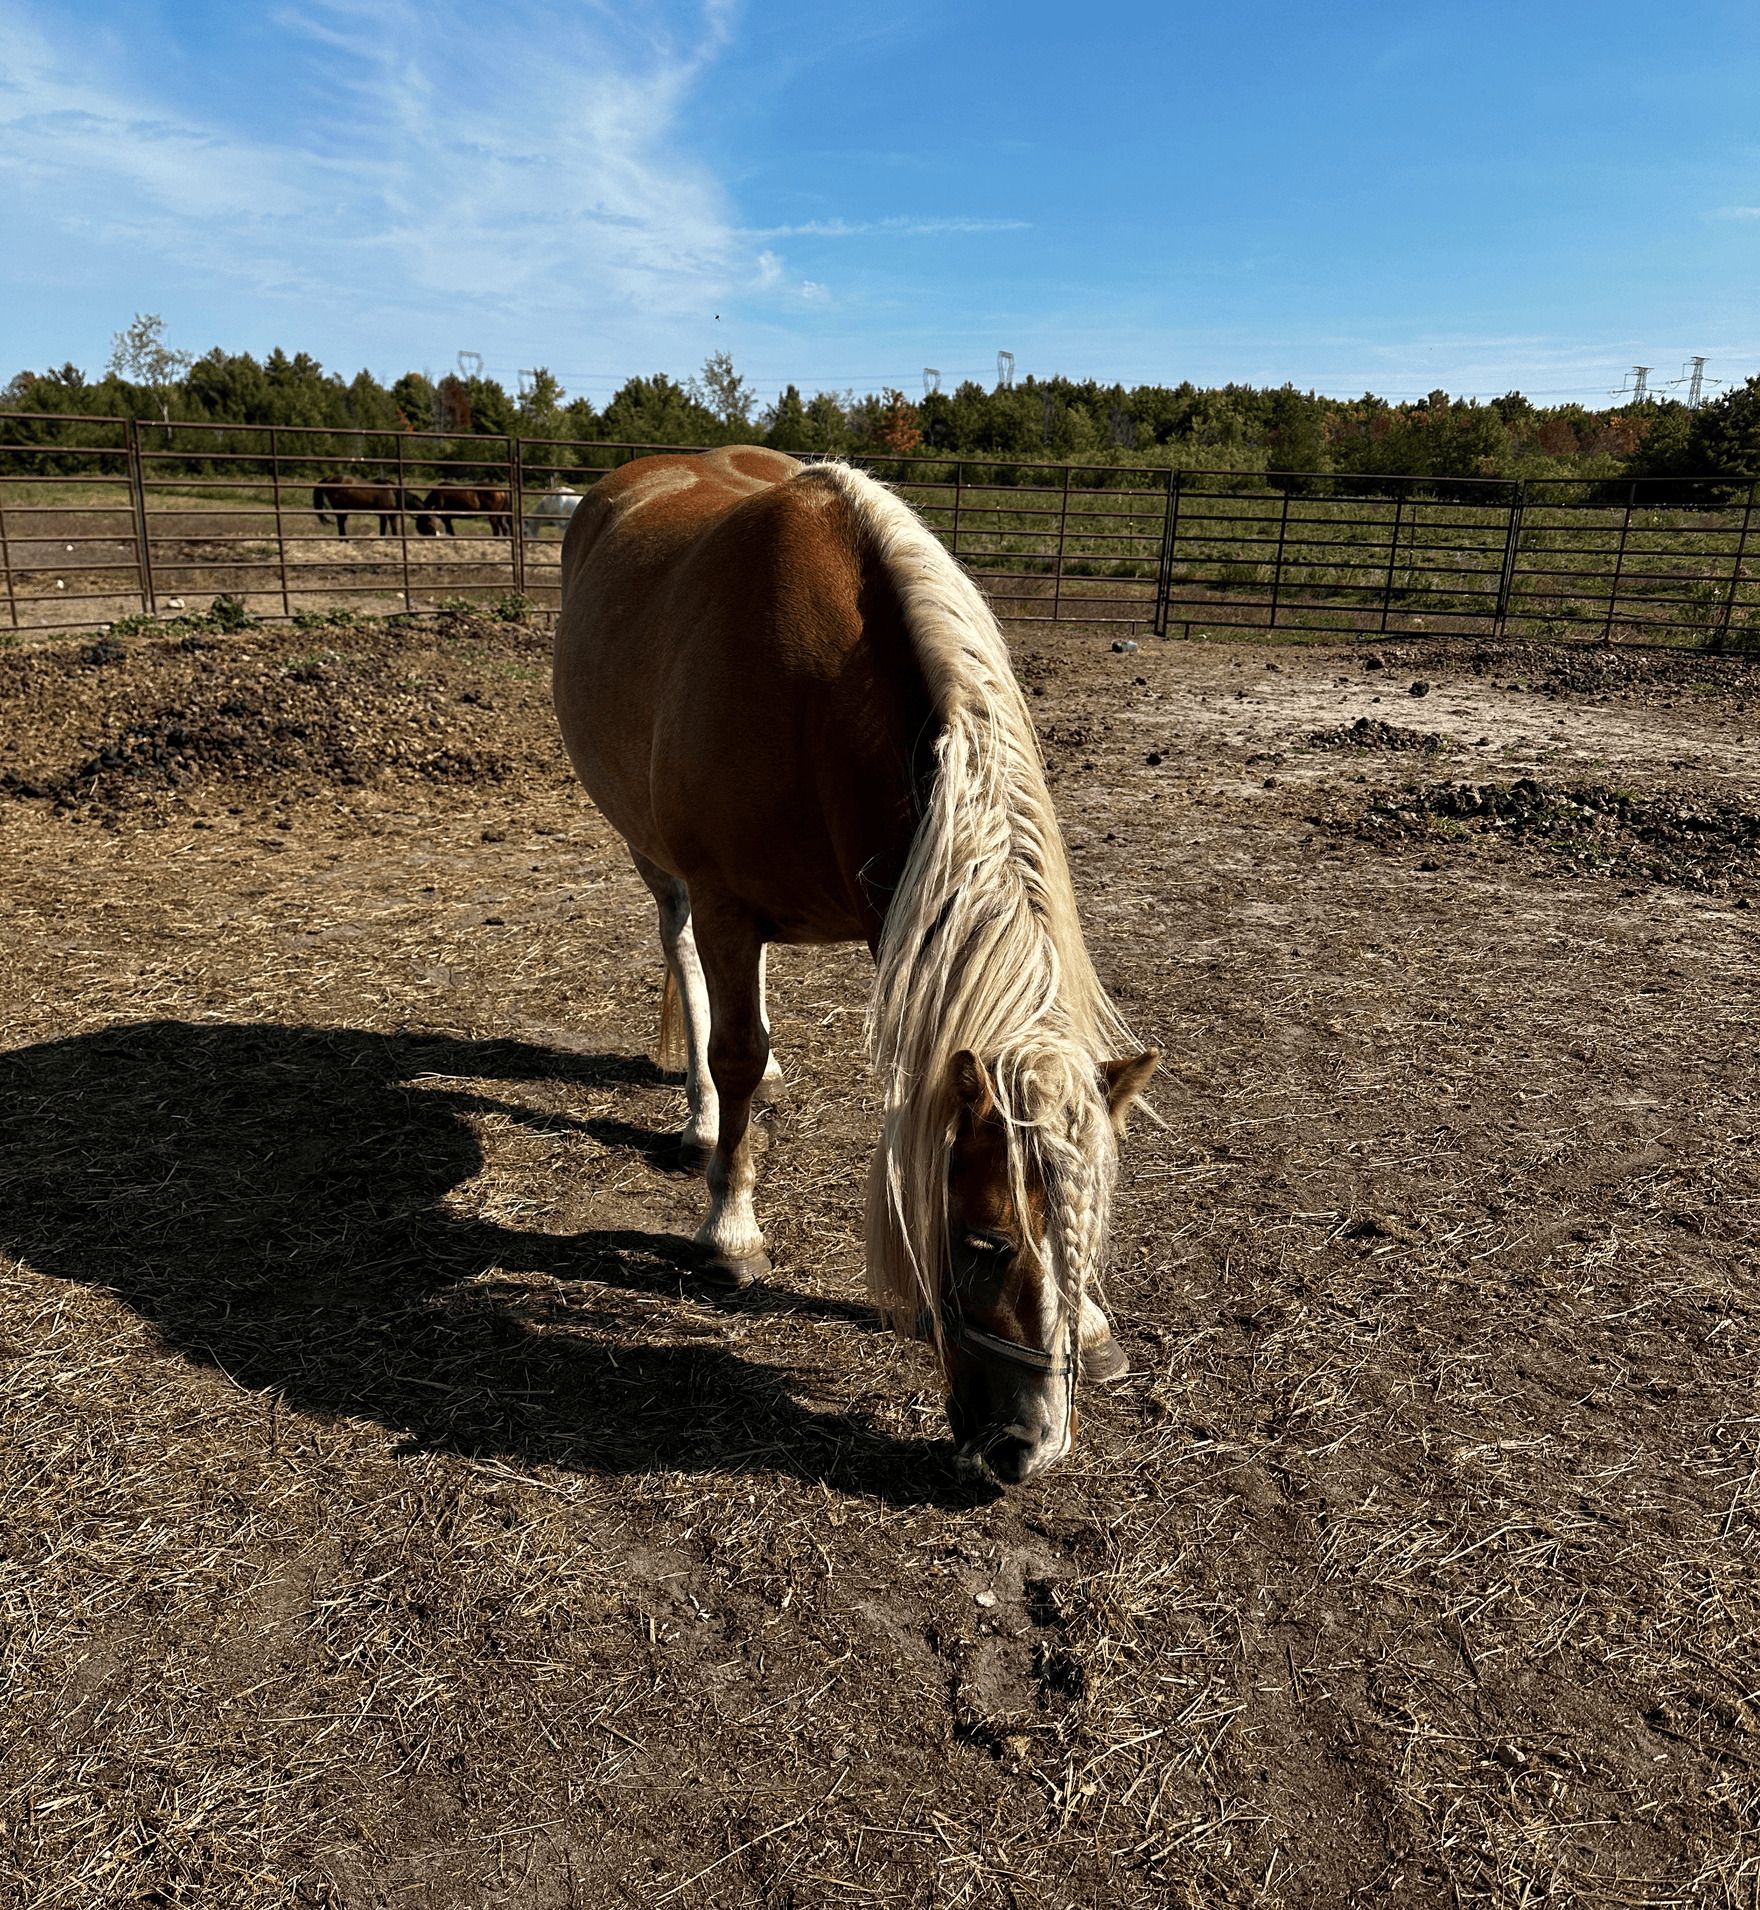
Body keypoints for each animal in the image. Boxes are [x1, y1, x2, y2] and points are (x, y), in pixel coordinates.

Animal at [553, 446, 1158, 1485]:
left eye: (1095, 1224)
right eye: (988, 1242)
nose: (1029, 1449)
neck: (822, 699)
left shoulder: (897, 922)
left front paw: (1091, 1322)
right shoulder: (724, 899)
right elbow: (734, 1050)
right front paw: (732, 1230)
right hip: (656, 860)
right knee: (688, 966)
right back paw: (702, 1119)